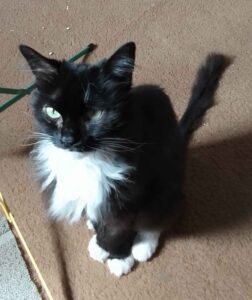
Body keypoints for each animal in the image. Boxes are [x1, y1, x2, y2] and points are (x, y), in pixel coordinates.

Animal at [19, 41, 228, 276]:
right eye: (52, 112)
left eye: (94, 114)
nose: (68, 139)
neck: (87, 162)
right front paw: (101, 243)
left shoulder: (131, 191)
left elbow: (120, 229)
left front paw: (118, 257)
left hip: (166, 187)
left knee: (162, 214)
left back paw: (143, 245)